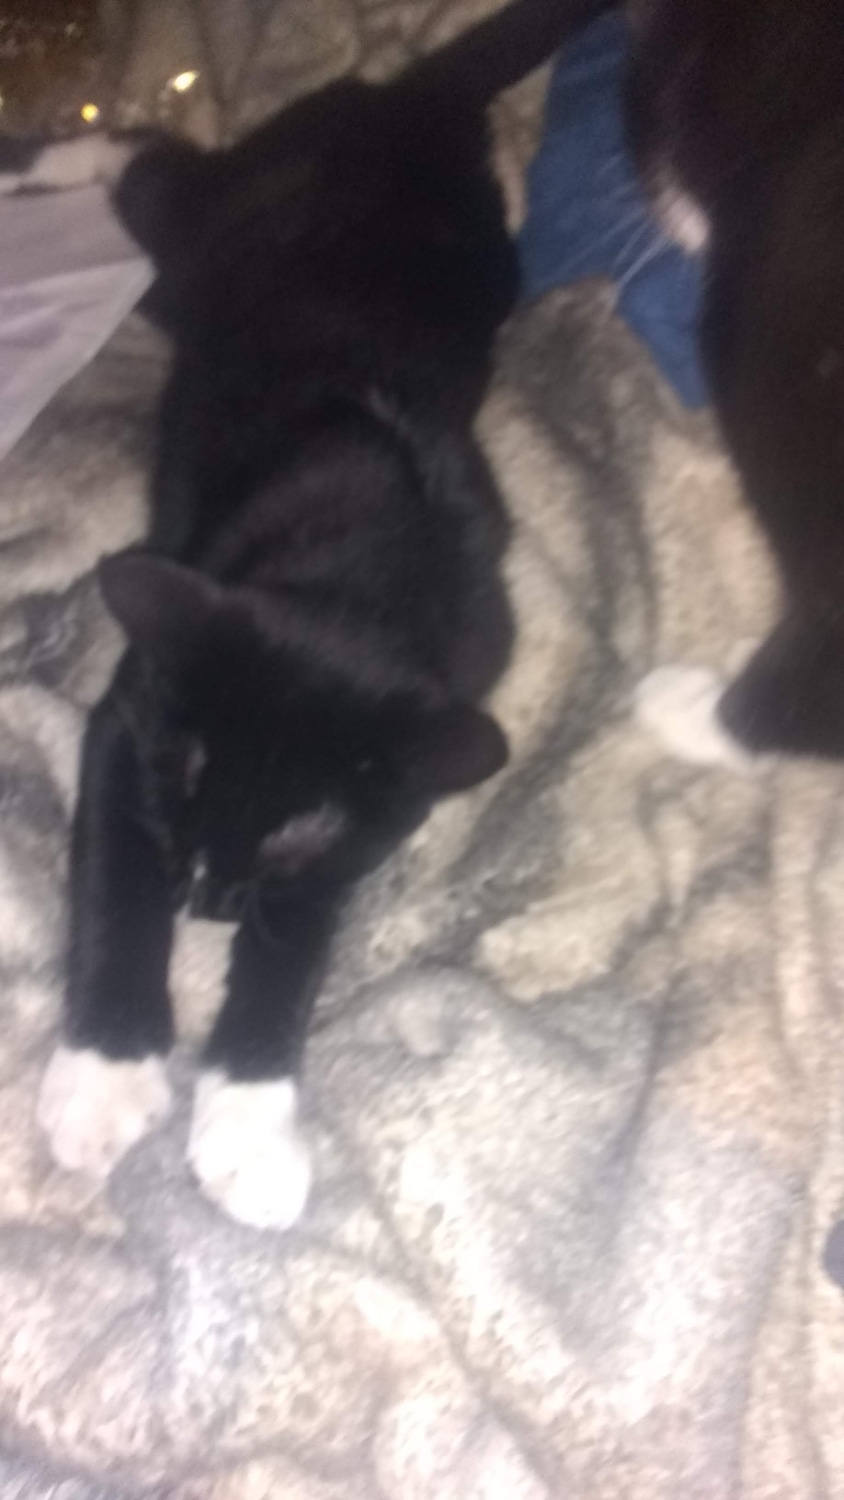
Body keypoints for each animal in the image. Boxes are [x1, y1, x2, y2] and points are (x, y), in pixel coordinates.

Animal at [36, 0, 611, 1230]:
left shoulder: (394, 778)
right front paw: (106, 1072)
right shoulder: (134, 710)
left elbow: (297, 934)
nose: (205, 896)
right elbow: (113, 879)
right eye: (188, 770)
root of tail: (403, 103)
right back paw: (59, 156)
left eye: (301, 825)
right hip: (209, 239)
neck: (362, 561)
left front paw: (249, 1120)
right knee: (152, 170)